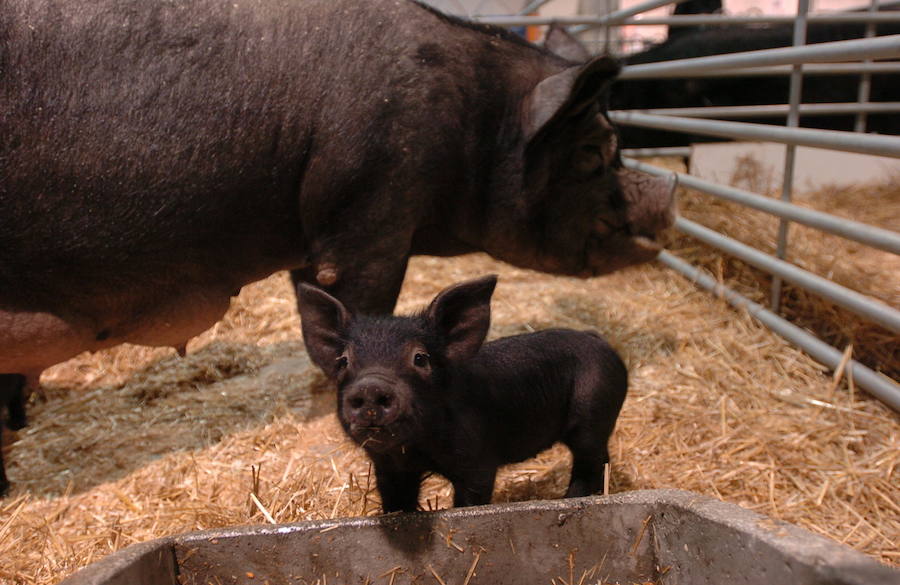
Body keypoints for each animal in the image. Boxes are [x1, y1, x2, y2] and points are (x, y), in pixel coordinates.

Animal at [296, 276, 624, 508]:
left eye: (420, 358)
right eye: (344, 361)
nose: (371, 385)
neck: (417, 451)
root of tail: (599, 340)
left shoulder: (478, 463)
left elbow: (469, 499)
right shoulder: (389, 469)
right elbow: (396, 505)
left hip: (594, 411)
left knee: (590, 461)